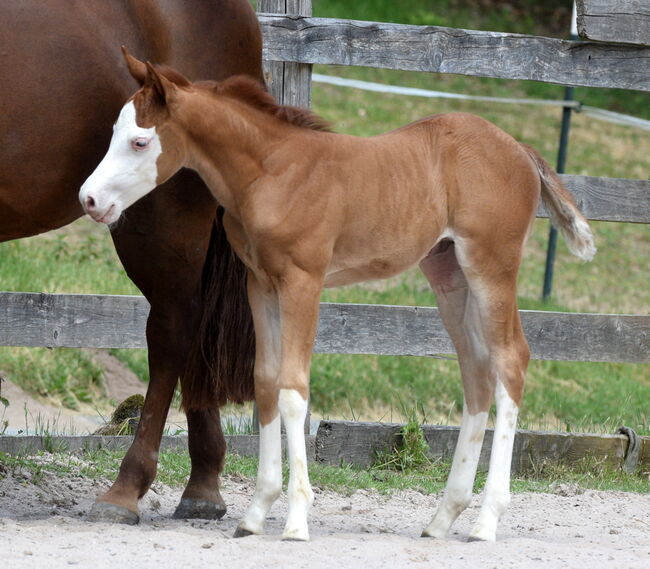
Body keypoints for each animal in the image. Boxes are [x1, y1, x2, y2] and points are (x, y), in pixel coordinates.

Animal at [80, 55, 596, 542]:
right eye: (114, 132)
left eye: (140, 142)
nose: (89, 200)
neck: (271, 172)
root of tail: (519, 148)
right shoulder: (260, 284)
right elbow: (265, 383)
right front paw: (255, 515)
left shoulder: (303, 281)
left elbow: (293, 390)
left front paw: (295, 521)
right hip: (448, 271)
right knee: (476, 371)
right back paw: (442, 519)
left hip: (491, 267)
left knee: (510, 361)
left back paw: (486, 522)